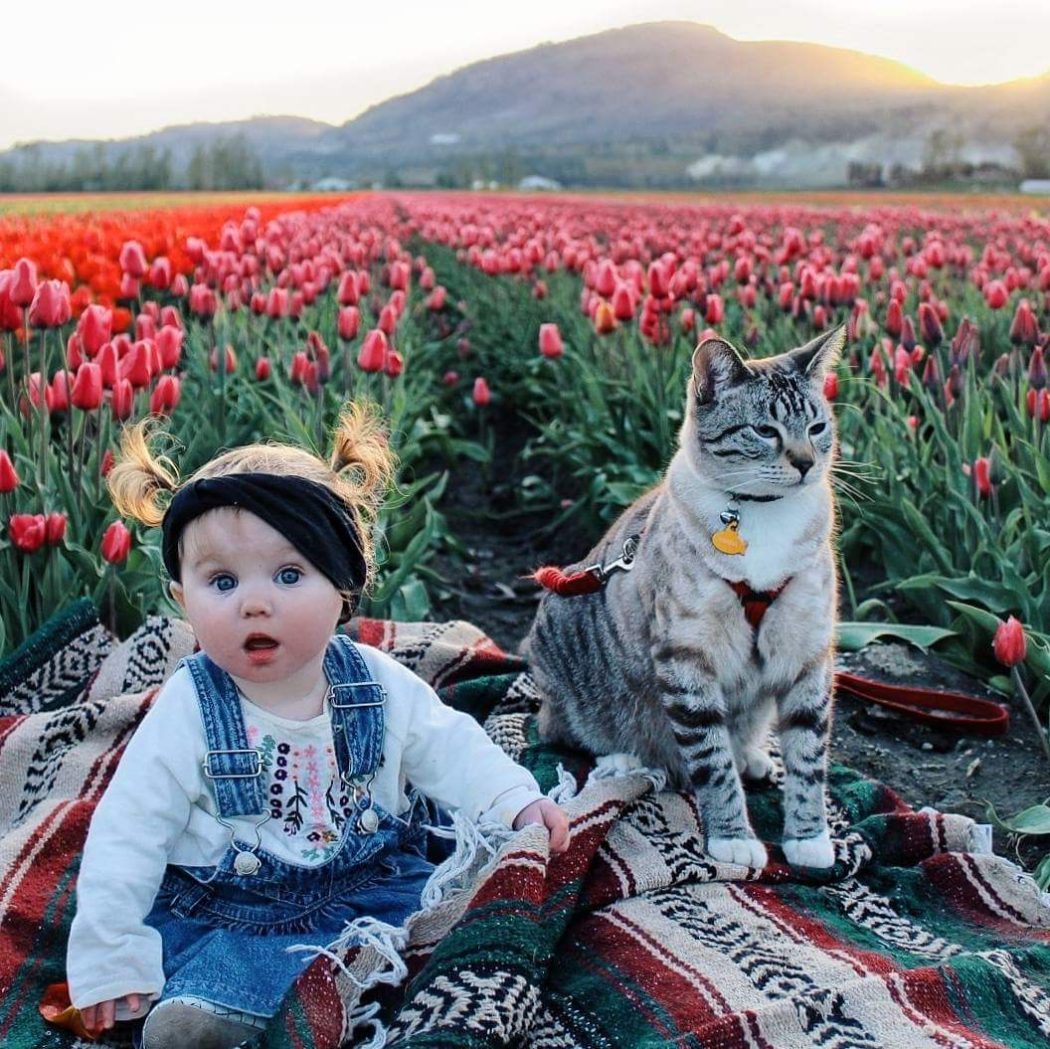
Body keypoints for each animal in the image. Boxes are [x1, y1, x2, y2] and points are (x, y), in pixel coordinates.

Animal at [525, 327, 844, 869]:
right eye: (765, 431)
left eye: (817, 426)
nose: (805, 463)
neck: (764, 519)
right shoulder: (688, 656)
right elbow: (711, 762)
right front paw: (733, 838)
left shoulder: (808, 653)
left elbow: (808, 756)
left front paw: (809, 839)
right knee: (567, 732)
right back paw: (625, 760)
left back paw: (752, 756)